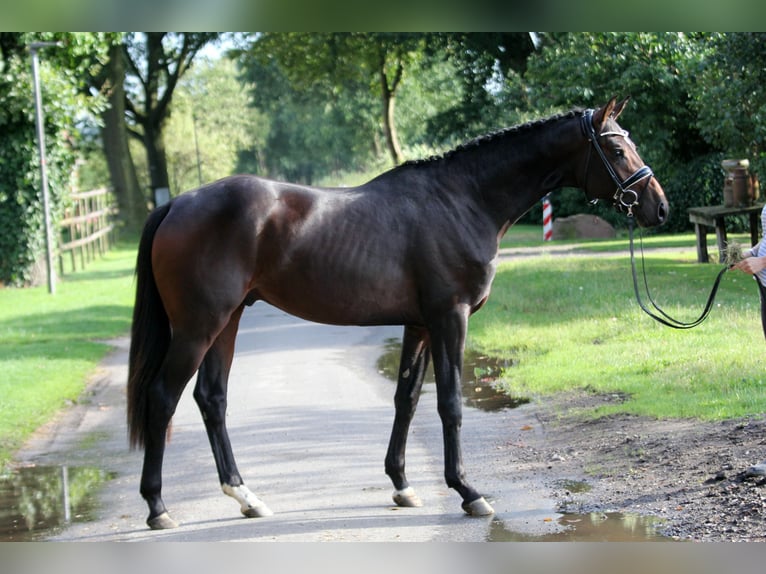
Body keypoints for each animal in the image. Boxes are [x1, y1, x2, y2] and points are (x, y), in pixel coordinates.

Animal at [129, 98, 668, 532]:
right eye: (616, 150)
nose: (659, 209)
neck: (462, 200)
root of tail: (178, 203)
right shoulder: (451, 318)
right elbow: (449, 403)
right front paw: (468, 492)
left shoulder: (420, 324)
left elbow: (406, 399)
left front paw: (403, 485)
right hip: (199, 326)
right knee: (162, 397)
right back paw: (157, 507)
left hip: (228, 321)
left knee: (211, 399)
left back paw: (246, 497)